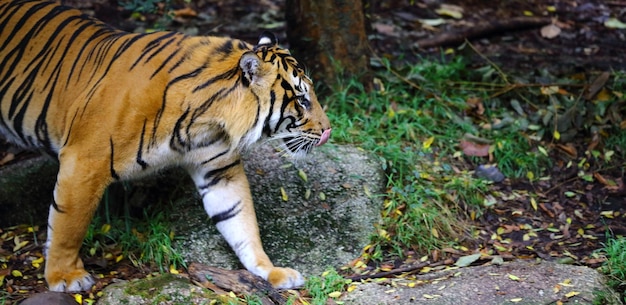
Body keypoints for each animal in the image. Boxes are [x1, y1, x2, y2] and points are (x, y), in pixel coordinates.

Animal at [0, 0, 332, 290]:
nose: (328, 131)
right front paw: (64, 276)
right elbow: (68, 225)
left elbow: (241, 221)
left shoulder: (219, 171)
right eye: (302, 100)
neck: (204, 119)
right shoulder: (85, 161)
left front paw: (271, 271)